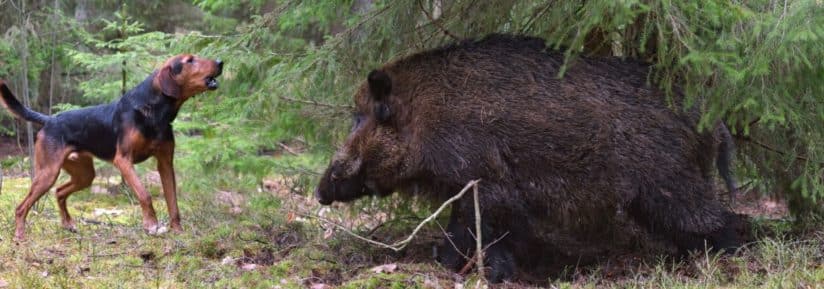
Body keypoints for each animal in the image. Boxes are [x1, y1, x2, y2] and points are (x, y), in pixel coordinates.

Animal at [0, 54, 222, 241]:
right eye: (189, 60)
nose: (221, 62)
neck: (154, 112)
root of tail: (49, 120)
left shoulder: (166, 163)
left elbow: (173, 202)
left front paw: (178, 231)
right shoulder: (123, 160)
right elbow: (144, 194)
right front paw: (151, 225)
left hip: (84, 174)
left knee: (59, 192)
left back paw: (68, 224)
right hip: (48, 172)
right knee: (21, 207)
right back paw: (20, 236)